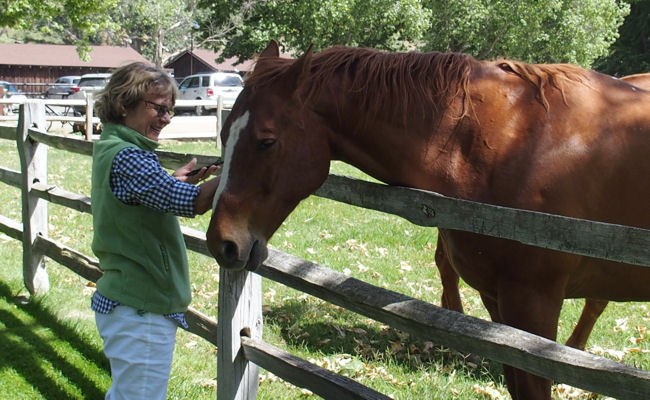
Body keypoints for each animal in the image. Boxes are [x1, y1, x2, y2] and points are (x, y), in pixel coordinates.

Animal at [206, 41, 648, 400]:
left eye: (267, 141)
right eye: (224, 133)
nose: (221, 242)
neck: (513, 139)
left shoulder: (533, 306)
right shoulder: (501, 308)